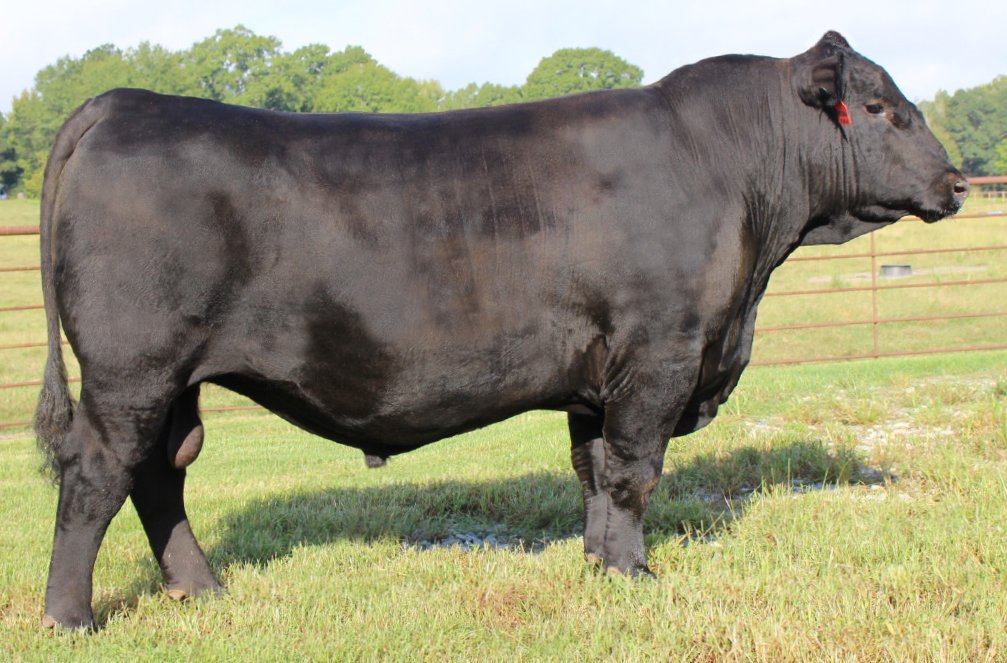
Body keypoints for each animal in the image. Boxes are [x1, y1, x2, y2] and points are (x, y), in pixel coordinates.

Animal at [35, 31, 967, 629]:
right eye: (879, 108)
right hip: (131, 372)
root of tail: (123, 103)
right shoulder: (660, 355)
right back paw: (71, 618)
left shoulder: (599, 376)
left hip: (170, 383)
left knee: (159, 476)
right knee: (96, 477)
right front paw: (636, 573)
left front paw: (600, 566)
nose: (958, 182)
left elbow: (593, 473)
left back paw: (201, 590)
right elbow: (635, 472)